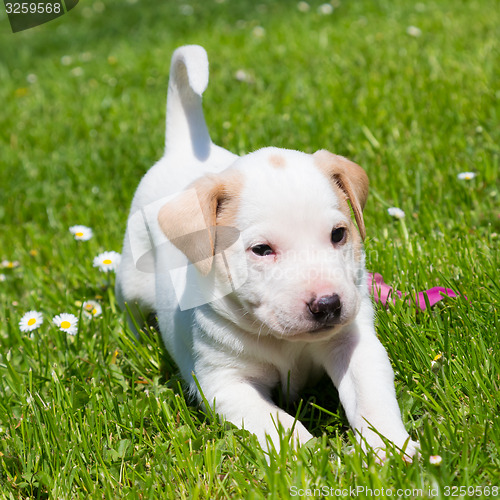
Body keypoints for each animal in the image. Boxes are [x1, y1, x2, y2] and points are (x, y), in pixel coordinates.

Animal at [117, 45, 418, 458]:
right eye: (261, 250)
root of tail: (185, 151)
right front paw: (308, 456)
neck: (285, 342)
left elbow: (372, 398)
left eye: (339, 234)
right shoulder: (223, 383)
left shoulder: (356, 346)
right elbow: (275, 421)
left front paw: (391, 449)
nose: (328, 305)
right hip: (130, 277)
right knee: (130, 309)